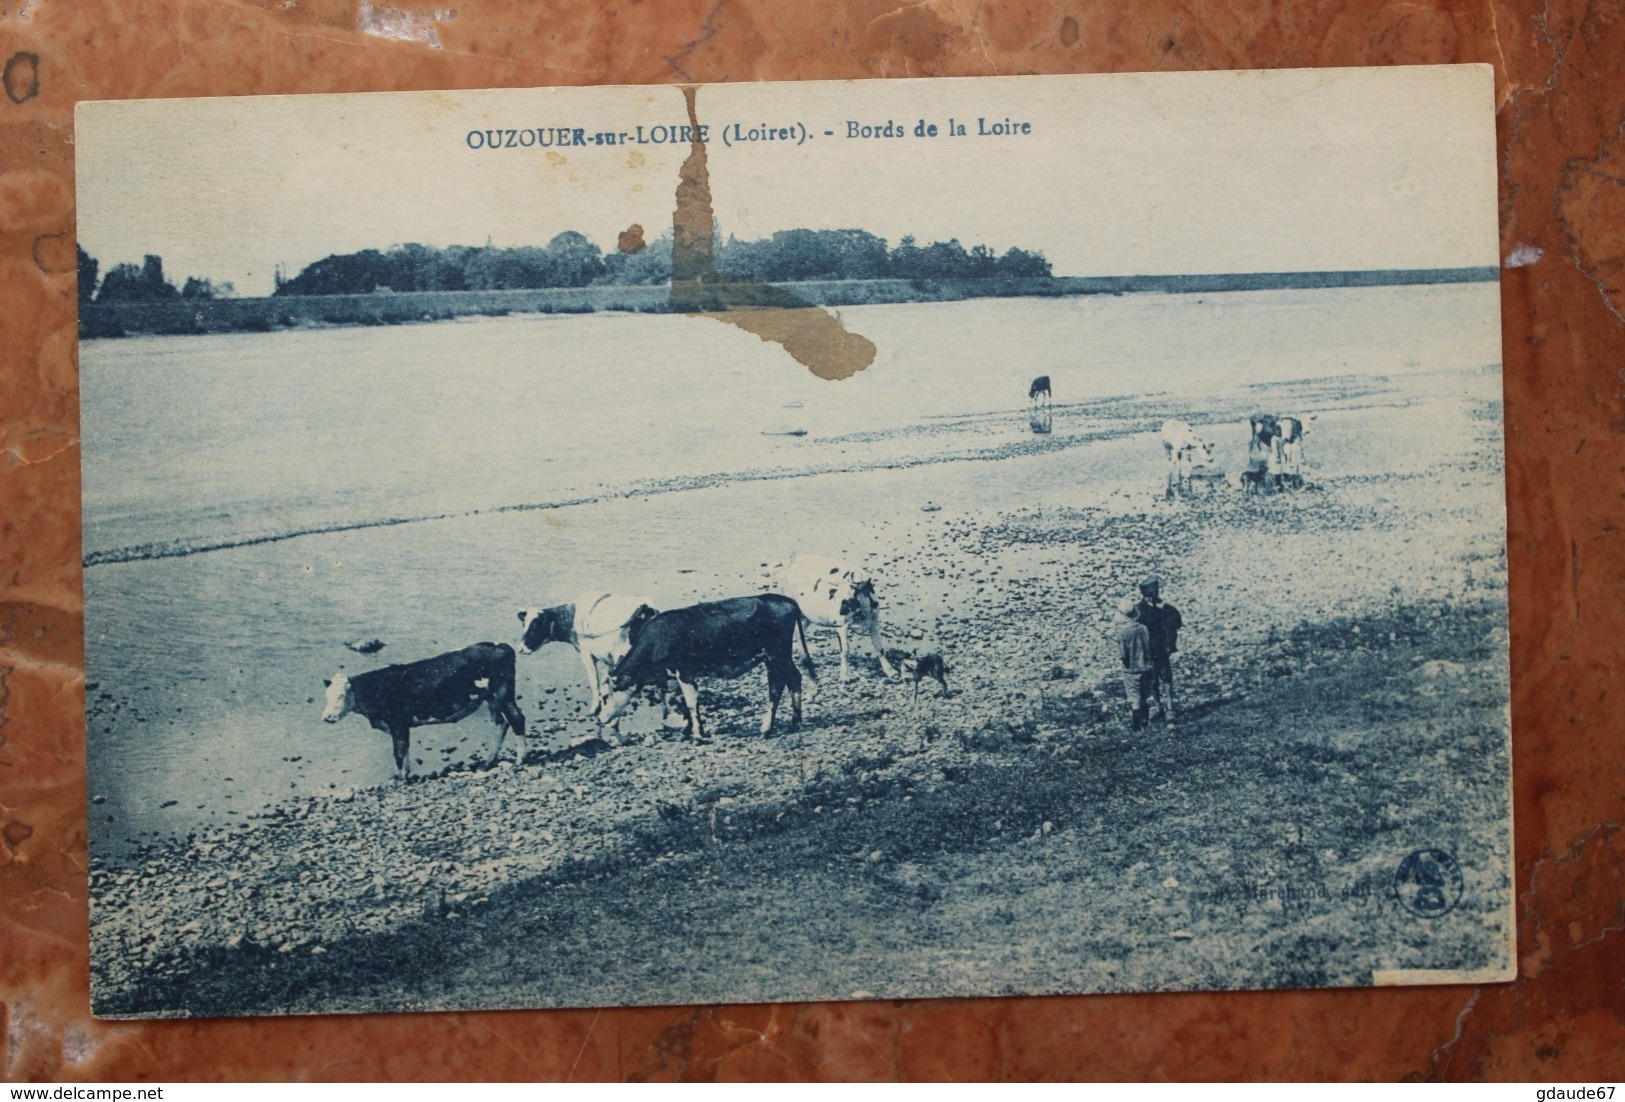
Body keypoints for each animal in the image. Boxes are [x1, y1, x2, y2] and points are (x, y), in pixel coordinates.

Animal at [316, 640, 520, 786]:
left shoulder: (398, 723)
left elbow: (398, 752)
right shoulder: (400, 726)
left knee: (516, 719)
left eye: (341, 695)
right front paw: (405, 775)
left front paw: (398, 779)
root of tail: (498, 645)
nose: (327, 717)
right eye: (326, 696)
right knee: (501, 723)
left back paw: (520, 759)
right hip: (492, 699)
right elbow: (405, 749)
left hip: (502, 694)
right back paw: (488, 762)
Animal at [513, 594, 653, 715]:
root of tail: (644, 606)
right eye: (524, 624)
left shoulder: (587, 654)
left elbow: (594, 681)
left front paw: (595, 707)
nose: (520, 648)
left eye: (536, 624)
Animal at [598, 594, 812, 741]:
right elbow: (683, 702)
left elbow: (691, 701)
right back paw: (795, 722)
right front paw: (687, 730)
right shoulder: (678, 674)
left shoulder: (684, 670)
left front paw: (698, 735)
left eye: (606, 696)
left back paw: (766, 729)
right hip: (776, 656)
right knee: (793, 678)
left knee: (777, 686)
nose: (600, 719)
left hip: (776, 653)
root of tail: (782, 598)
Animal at [776, 555, 903, 685]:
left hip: (807, 616)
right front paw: (844, 676)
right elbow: (845, 651)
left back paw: (804, 659)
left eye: (847, 600)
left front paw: (891, 672)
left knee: (797, 633)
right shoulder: (842, 626)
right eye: (834, 594)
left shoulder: (874, 622)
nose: (835, 615)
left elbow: (880, 648)